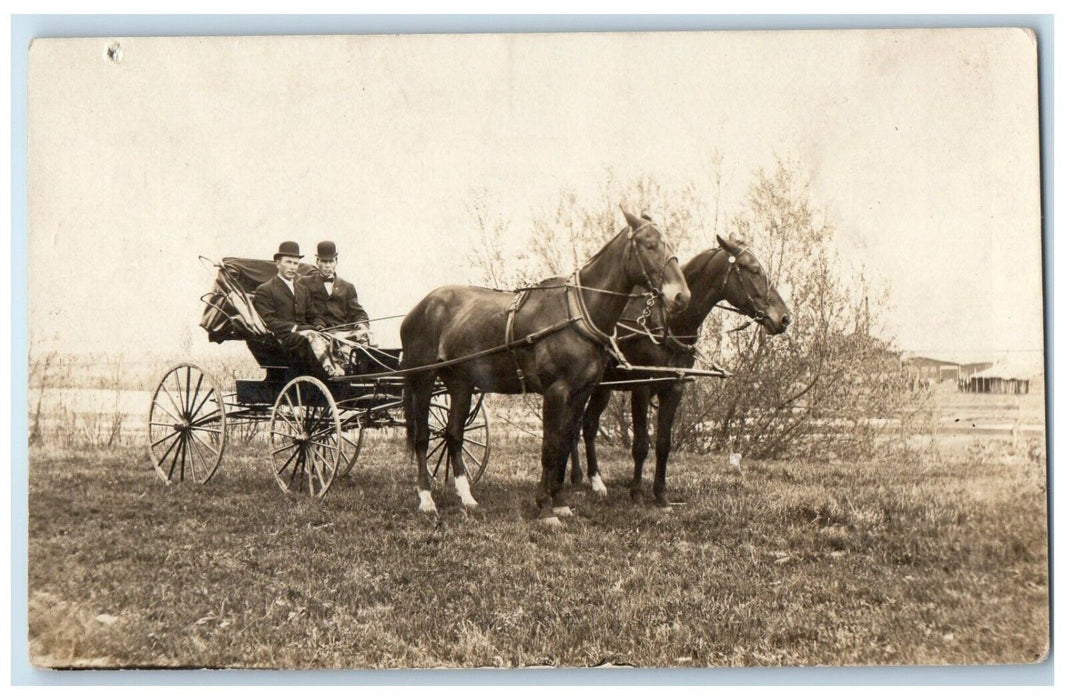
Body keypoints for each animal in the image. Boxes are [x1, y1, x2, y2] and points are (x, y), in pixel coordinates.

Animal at [400, 209, 691, 524]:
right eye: (649, 245)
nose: (681, 296)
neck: (577, 314)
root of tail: (421, 307)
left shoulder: (580, 392)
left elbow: (564, 443)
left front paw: (560, 501)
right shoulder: (556, 391)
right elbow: (550, 446)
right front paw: (546, 507)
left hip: (460, 384)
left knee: (453, 435)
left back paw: (467, 497)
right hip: (423, 379)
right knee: (422, 437)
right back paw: (426, 498)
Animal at [568, 235, 791, 508]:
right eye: (753, 269)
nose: (784, 318)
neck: (666, 323)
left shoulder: (675, 387)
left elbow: (664, 443)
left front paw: (661, 495)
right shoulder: (642, 386)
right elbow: (641, 444)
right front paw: (637, 493)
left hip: (603, 388)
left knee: (586, 425)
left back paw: (588, 479)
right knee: (577, 426)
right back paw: (586, 479)